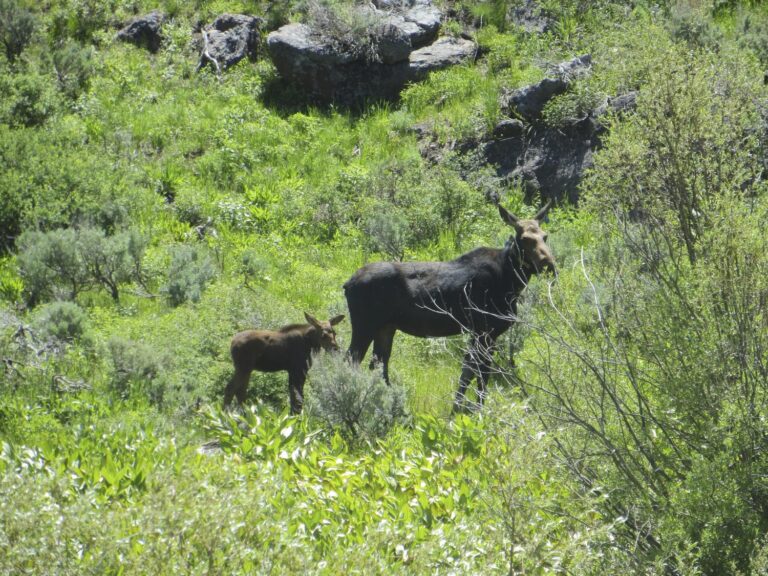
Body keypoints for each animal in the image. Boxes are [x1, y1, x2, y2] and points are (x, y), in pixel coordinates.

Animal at [344, 200, 556, 412]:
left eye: (545, 236)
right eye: (524, 239)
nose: (549, 265)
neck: (511, 281)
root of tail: (347, 284)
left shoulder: (478, 333)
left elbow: (467, 373)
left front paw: (457, 408)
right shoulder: (486, 332)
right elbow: (481, 375)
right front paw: (478, 410)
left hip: (385, 327)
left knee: (378, 364)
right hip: (365, 325)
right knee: (350, 361)